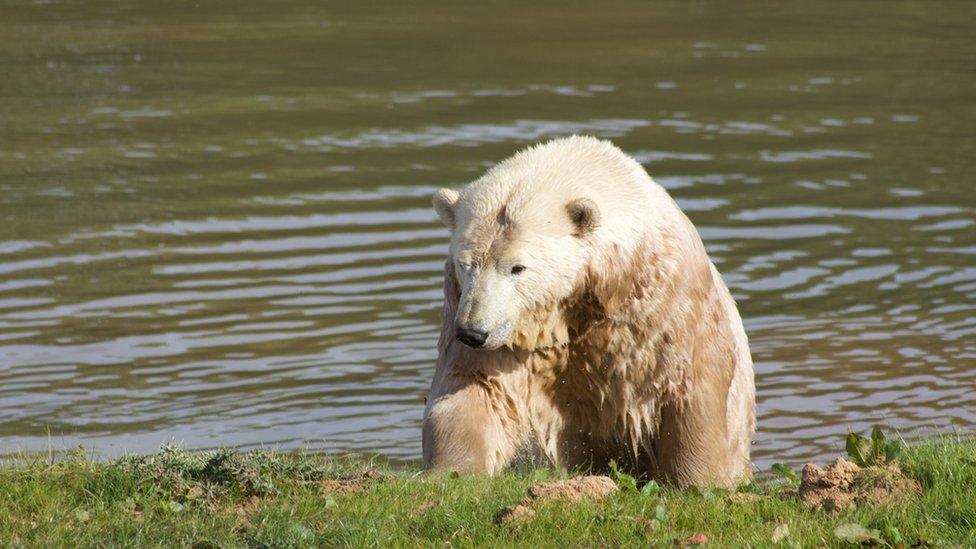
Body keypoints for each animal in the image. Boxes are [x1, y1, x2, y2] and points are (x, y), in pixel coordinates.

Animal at [422, 135, 756, 486]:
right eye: (465, 263)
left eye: (517, 267)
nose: (473, 332)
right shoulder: (497, 326)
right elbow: (474, 389)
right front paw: (454, 473)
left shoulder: (663, 304)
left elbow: (689, 386)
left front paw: (696, 480)